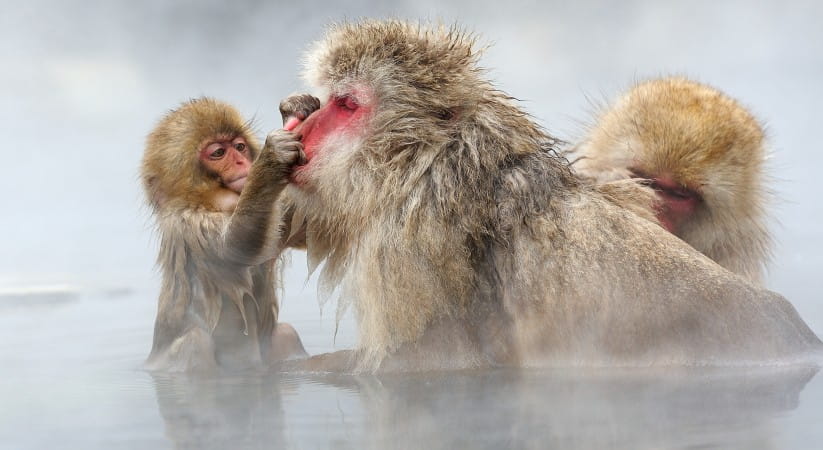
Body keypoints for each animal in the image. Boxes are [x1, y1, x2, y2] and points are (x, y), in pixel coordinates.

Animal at [142, 97, 313, 372]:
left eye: (240, 147)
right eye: (218, 153)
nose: (243, 163)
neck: (212, 204)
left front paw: (294, 110)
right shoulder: (190, 223)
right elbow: (235, 246)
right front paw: (272, 158)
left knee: (286, 334)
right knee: (195, 341)